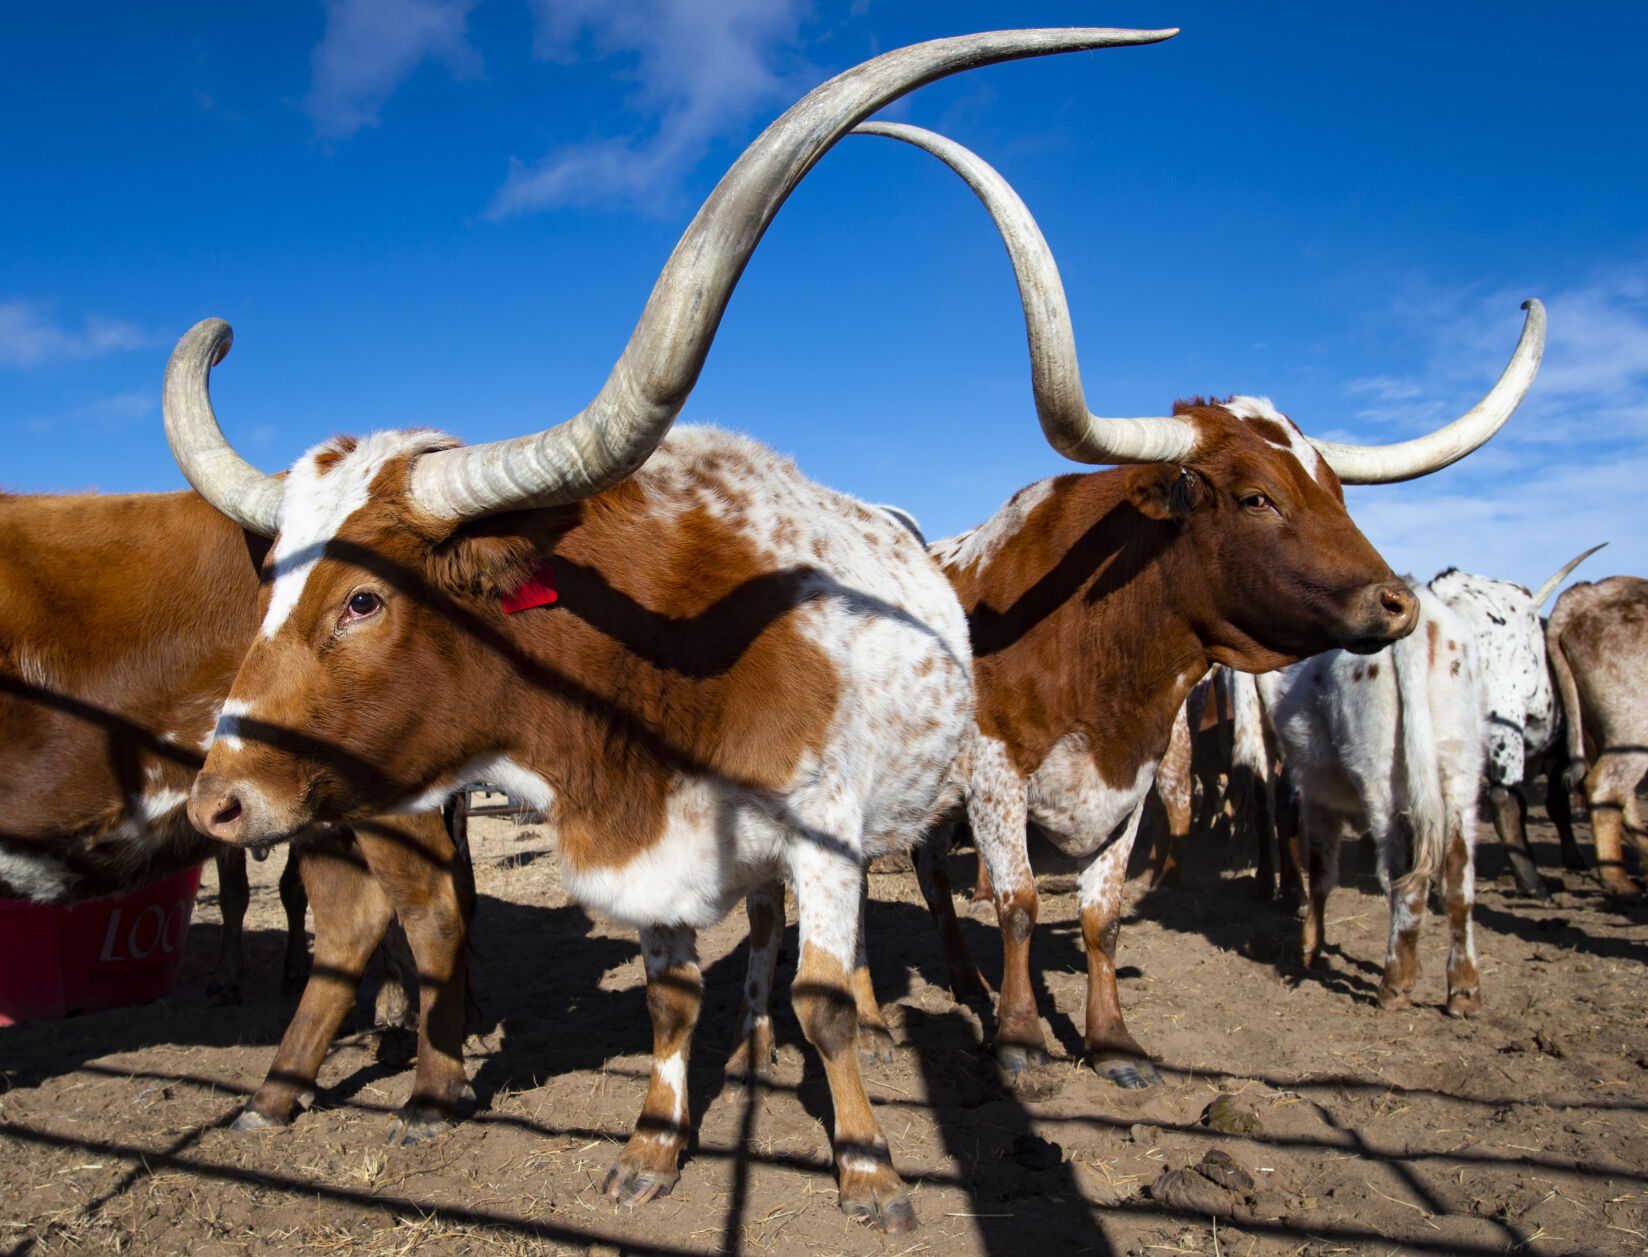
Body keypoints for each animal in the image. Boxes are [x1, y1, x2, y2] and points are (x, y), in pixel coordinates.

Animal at [151, 29, 1191, 1234]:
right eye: (269, 584)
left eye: (365, 600)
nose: (218, 802)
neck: (656, 684)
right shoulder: (656, 858)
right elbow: (671, 996)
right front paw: (655, 1140)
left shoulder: (824, 835)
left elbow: (827, 999)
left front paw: (868, 1164)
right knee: (758, 947)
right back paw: (747, 1050)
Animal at [1428, 545, 1604, 897]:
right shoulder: (1556, 754)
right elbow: (1556, 805)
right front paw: (1575, 859)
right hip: (1503, 720)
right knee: (1502, 798)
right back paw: (1533, 884)